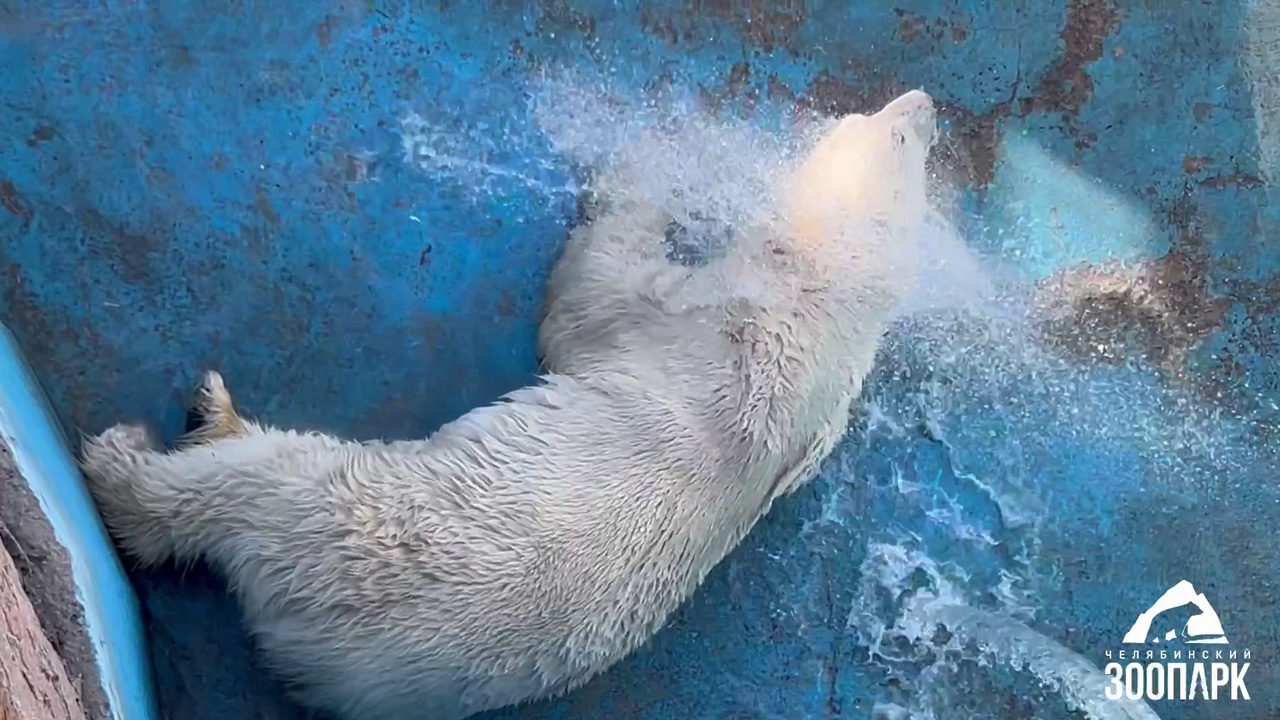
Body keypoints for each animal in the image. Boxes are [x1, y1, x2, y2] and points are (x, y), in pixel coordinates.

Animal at [82, 89, 942, 717]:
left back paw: (138, 455)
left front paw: (641, 176)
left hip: (349, 529)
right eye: (904, 138)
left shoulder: (702, 324)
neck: (818, 311)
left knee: (251, 483)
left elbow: (587, 302)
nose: (925, 103)